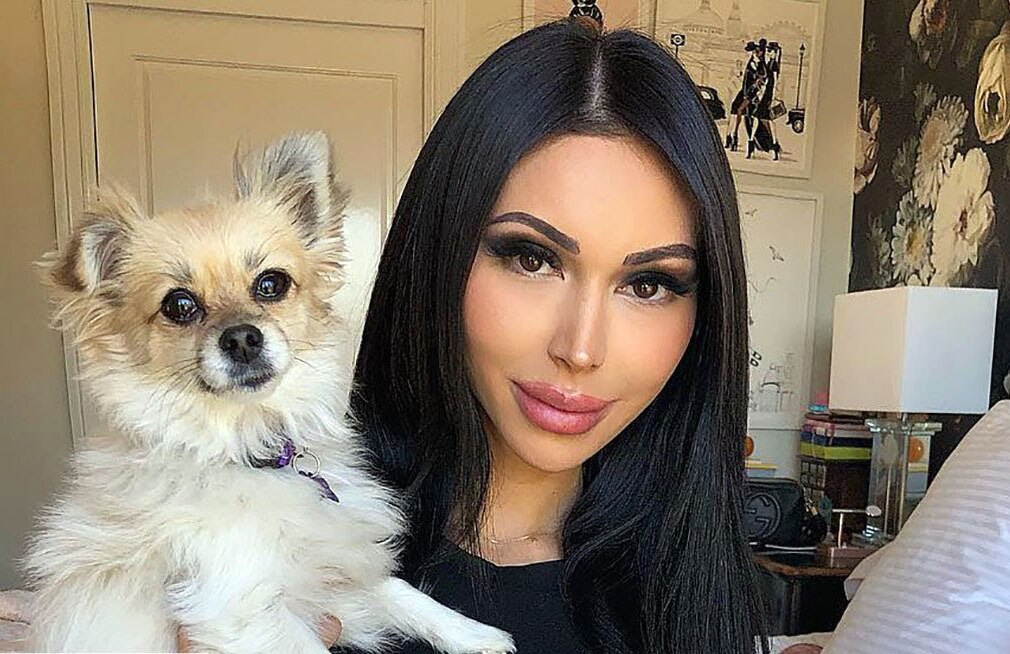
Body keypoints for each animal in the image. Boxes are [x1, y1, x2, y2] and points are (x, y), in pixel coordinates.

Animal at [25, 132, 515, 654]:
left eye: (270, 284)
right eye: (179, 305)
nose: (242, 338)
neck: (247, 447)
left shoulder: (334, 570)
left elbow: (395, 588)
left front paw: (474, 633)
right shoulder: (240, 607)